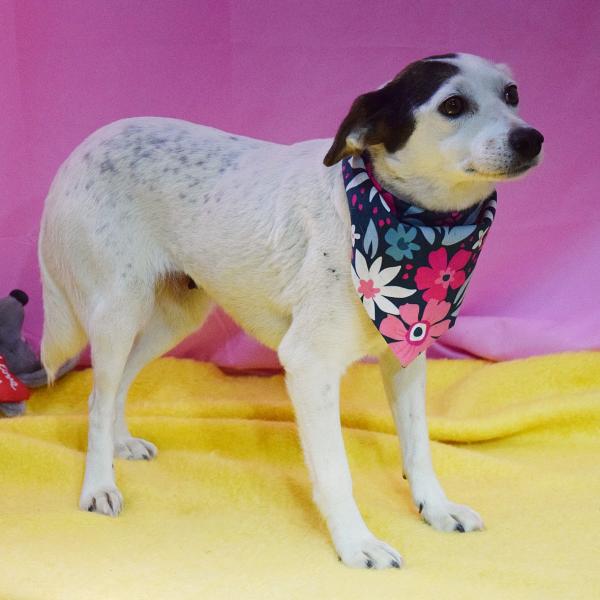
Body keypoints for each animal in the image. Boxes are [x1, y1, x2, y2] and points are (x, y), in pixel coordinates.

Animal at [39, 52, 543, 568]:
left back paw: (119, 444)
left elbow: (418, 446)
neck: (412, 224)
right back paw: (98, 485)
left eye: (512, 94)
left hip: (175, 317)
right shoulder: (309, 364)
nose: (531, 138)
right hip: (119, 309)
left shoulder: (406, 354)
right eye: (452, 105)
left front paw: (436, 508)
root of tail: (79, 151)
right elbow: (335, 471)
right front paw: (356, 543)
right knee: (97, 398)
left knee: (118, 384)